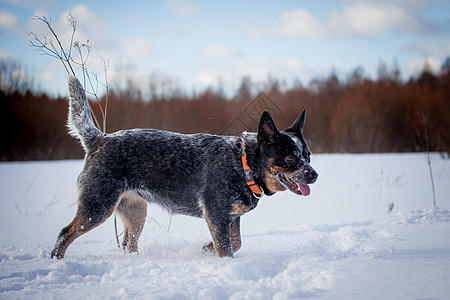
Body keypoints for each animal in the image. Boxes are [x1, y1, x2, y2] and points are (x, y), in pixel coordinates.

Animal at [51, 75, 318, 258]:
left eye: (308, 155)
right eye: (290, 158)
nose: (314, 175)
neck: (244, 164)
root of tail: (99, 138)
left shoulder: (230, 217)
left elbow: (236, 242)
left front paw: (206, 248)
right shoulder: (217, 215)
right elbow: (227, 248)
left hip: (136, 212)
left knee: (129, 243)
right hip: (98, 205)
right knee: (64, 234)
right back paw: (57, 262)